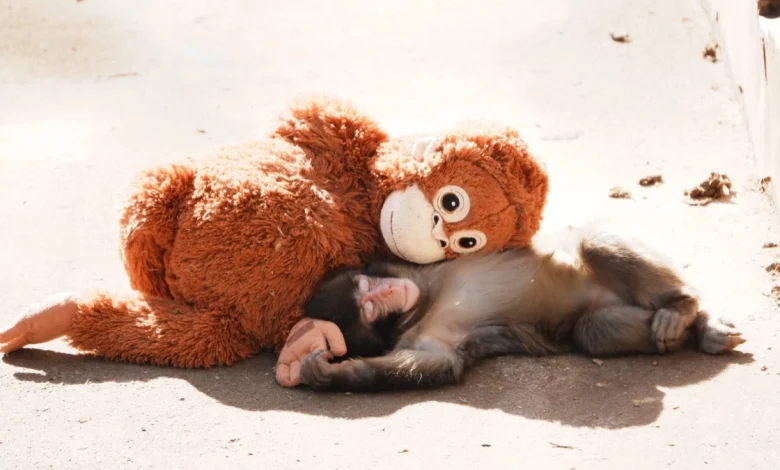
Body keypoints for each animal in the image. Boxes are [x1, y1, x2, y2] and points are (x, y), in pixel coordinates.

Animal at [295, 222, 745, 392]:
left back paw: (685, 307)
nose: (390, 293)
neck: (424, 300)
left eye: (368, 287)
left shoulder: (415, 265)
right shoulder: (423, 337)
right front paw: (333, 374)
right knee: (593, 331)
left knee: (590, 242)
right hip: (605, 312)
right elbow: (439, 364)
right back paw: (691, 324)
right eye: (368, 307)